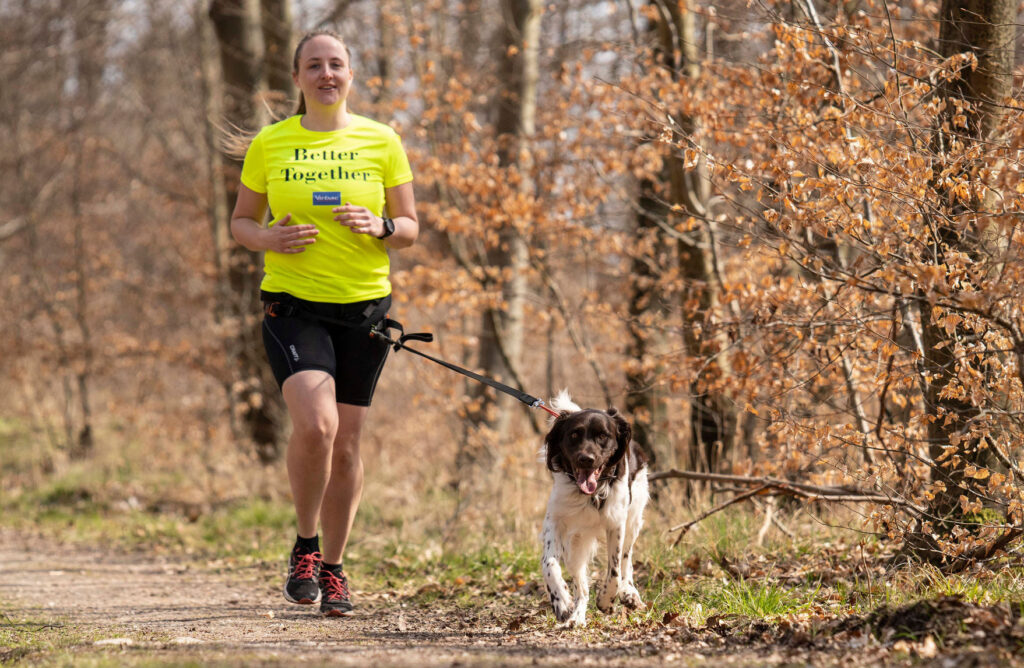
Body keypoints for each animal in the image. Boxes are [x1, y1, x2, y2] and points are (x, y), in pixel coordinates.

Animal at [544, 391, 647, 627]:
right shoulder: (556, 520)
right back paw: (576, 617)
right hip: (575, 545)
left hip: (633, 520)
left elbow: (615, 570)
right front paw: (561, 601)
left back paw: (629, 593)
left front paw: (607, 600)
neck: (589, 495)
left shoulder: (616, 523)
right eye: (574, 435)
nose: (586, 459)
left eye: (603, 436)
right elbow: (549, 564)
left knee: (626, 560)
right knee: (581, 587)